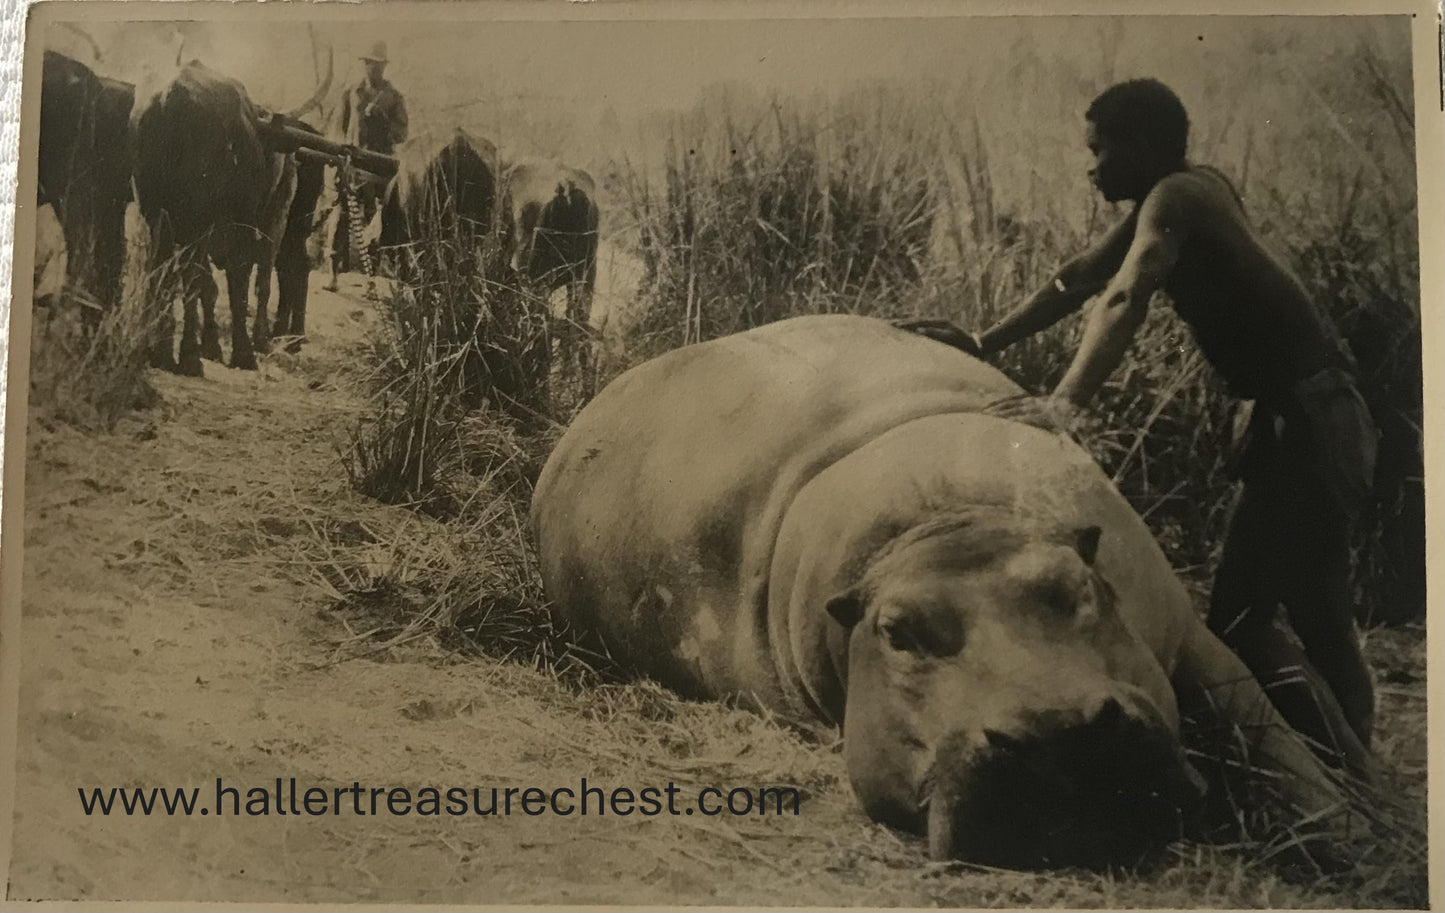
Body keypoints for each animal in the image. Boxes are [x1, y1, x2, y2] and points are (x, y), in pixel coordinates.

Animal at [531, 314, 1351, 869]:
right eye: (895, 631)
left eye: (1077, 585)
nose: (1055, 730)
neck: (948, 530)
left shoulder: (1182, 630)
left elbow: (1281, 744)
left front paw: (1353, 835)